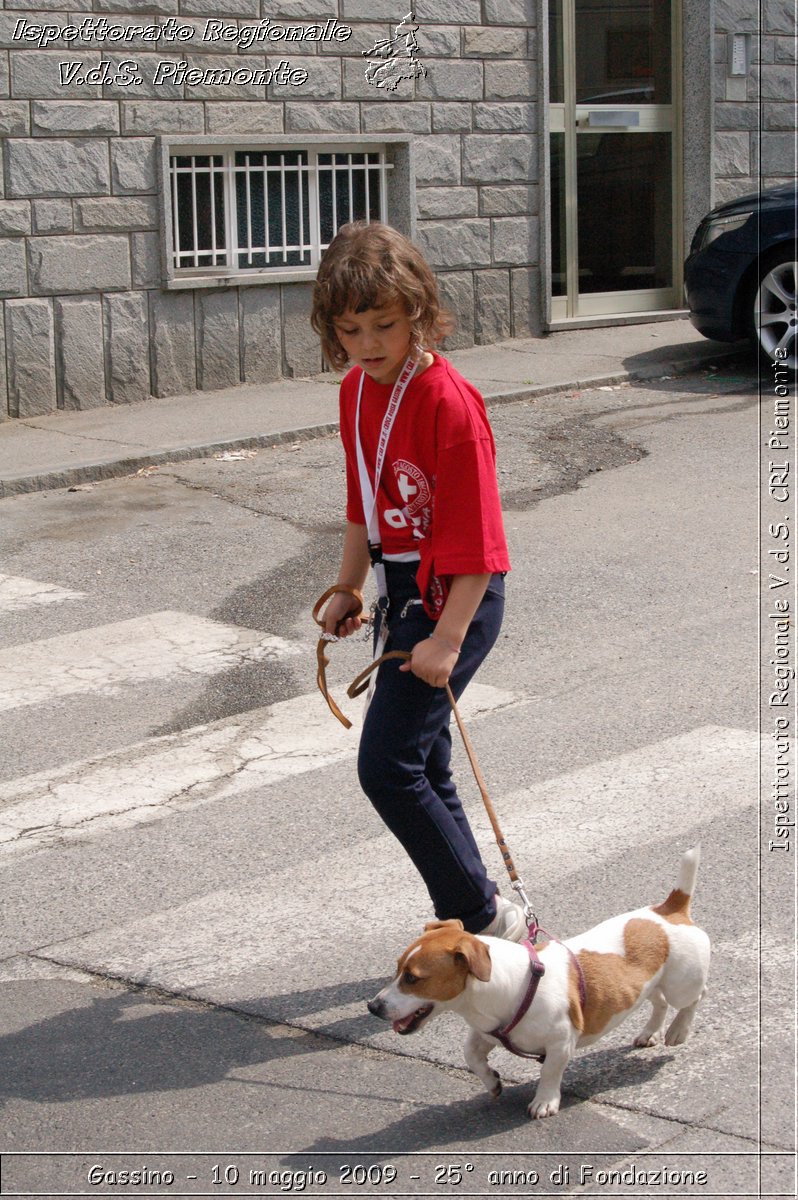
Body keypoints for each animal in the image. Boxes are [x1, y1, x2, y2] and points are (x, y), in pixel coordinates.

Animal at [367, 844, 710, 1113]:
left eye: (413, 978)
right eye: (397, 968)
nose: (373, 1007)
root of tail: (669, 909)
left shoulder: (560, 1042)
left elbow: (548, 1073)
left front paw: (544, 1102)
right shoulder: (485, 1033)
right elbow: (471, 1055)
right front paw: (492, 1082)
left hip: (682, 982)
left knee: (695, 997)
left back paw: (678, 1031)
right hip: (645, 984)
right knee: (659, 1001)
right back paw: (650, 1033)